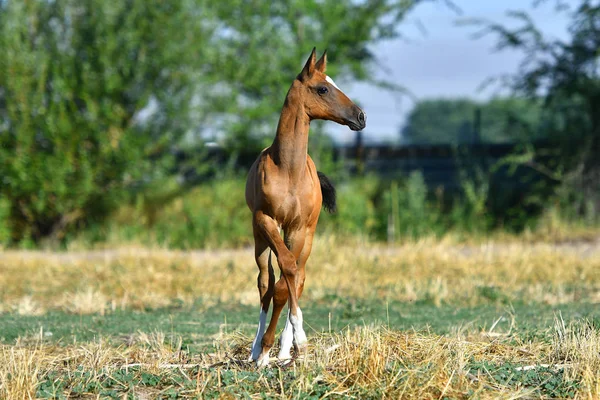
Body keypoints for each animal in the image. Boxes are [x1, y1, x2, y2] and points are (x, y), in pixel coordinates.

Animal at [244, 47, 366, 366]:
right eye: (322, 88)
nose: (360, 117)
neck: (288, 169)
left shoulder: (298, 229)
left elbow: (288, 281)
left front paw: (294, 341)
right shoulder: (267, 221)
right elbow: (278, 278)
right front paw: (264, 350)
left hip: (307, 236)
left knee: (296, 277)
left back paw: (284, 348)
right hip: (260, 239)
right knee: (264, 281)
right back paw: (256, 349)